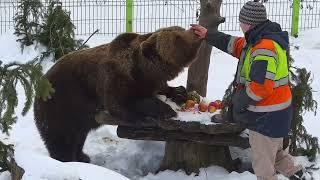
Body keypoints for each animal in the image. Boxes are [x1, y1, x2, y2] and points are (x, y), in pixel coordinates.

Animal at [33, 26, 201, 162]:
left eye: (180, 29)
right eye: (178, 37)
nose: (195, 30)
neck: (143, 71)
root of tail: (39, 83)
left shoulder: (151, 81)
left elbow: (163, 89)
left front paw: (180, 92)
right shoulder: (115, 78)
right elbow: (123, 103)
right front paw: (167, 109)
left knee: (79, 136)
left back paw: (82, 156)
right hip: (61, 104)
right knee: (61, 138)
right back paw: (67, 159)